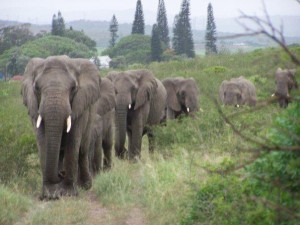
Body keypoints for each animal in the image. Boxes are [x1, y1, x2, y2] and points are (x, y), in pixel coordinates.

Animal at [21, 55, 101, 200]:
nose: (61, 174)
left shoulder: (79, 105)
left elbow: (73, 141)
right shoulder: (35, 107)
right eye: (36, 88)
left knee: (82, 150)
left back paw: (85, 186)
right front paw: (50, 195)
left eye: (74, 88)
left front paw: (69, 194)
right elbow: (43, 141)